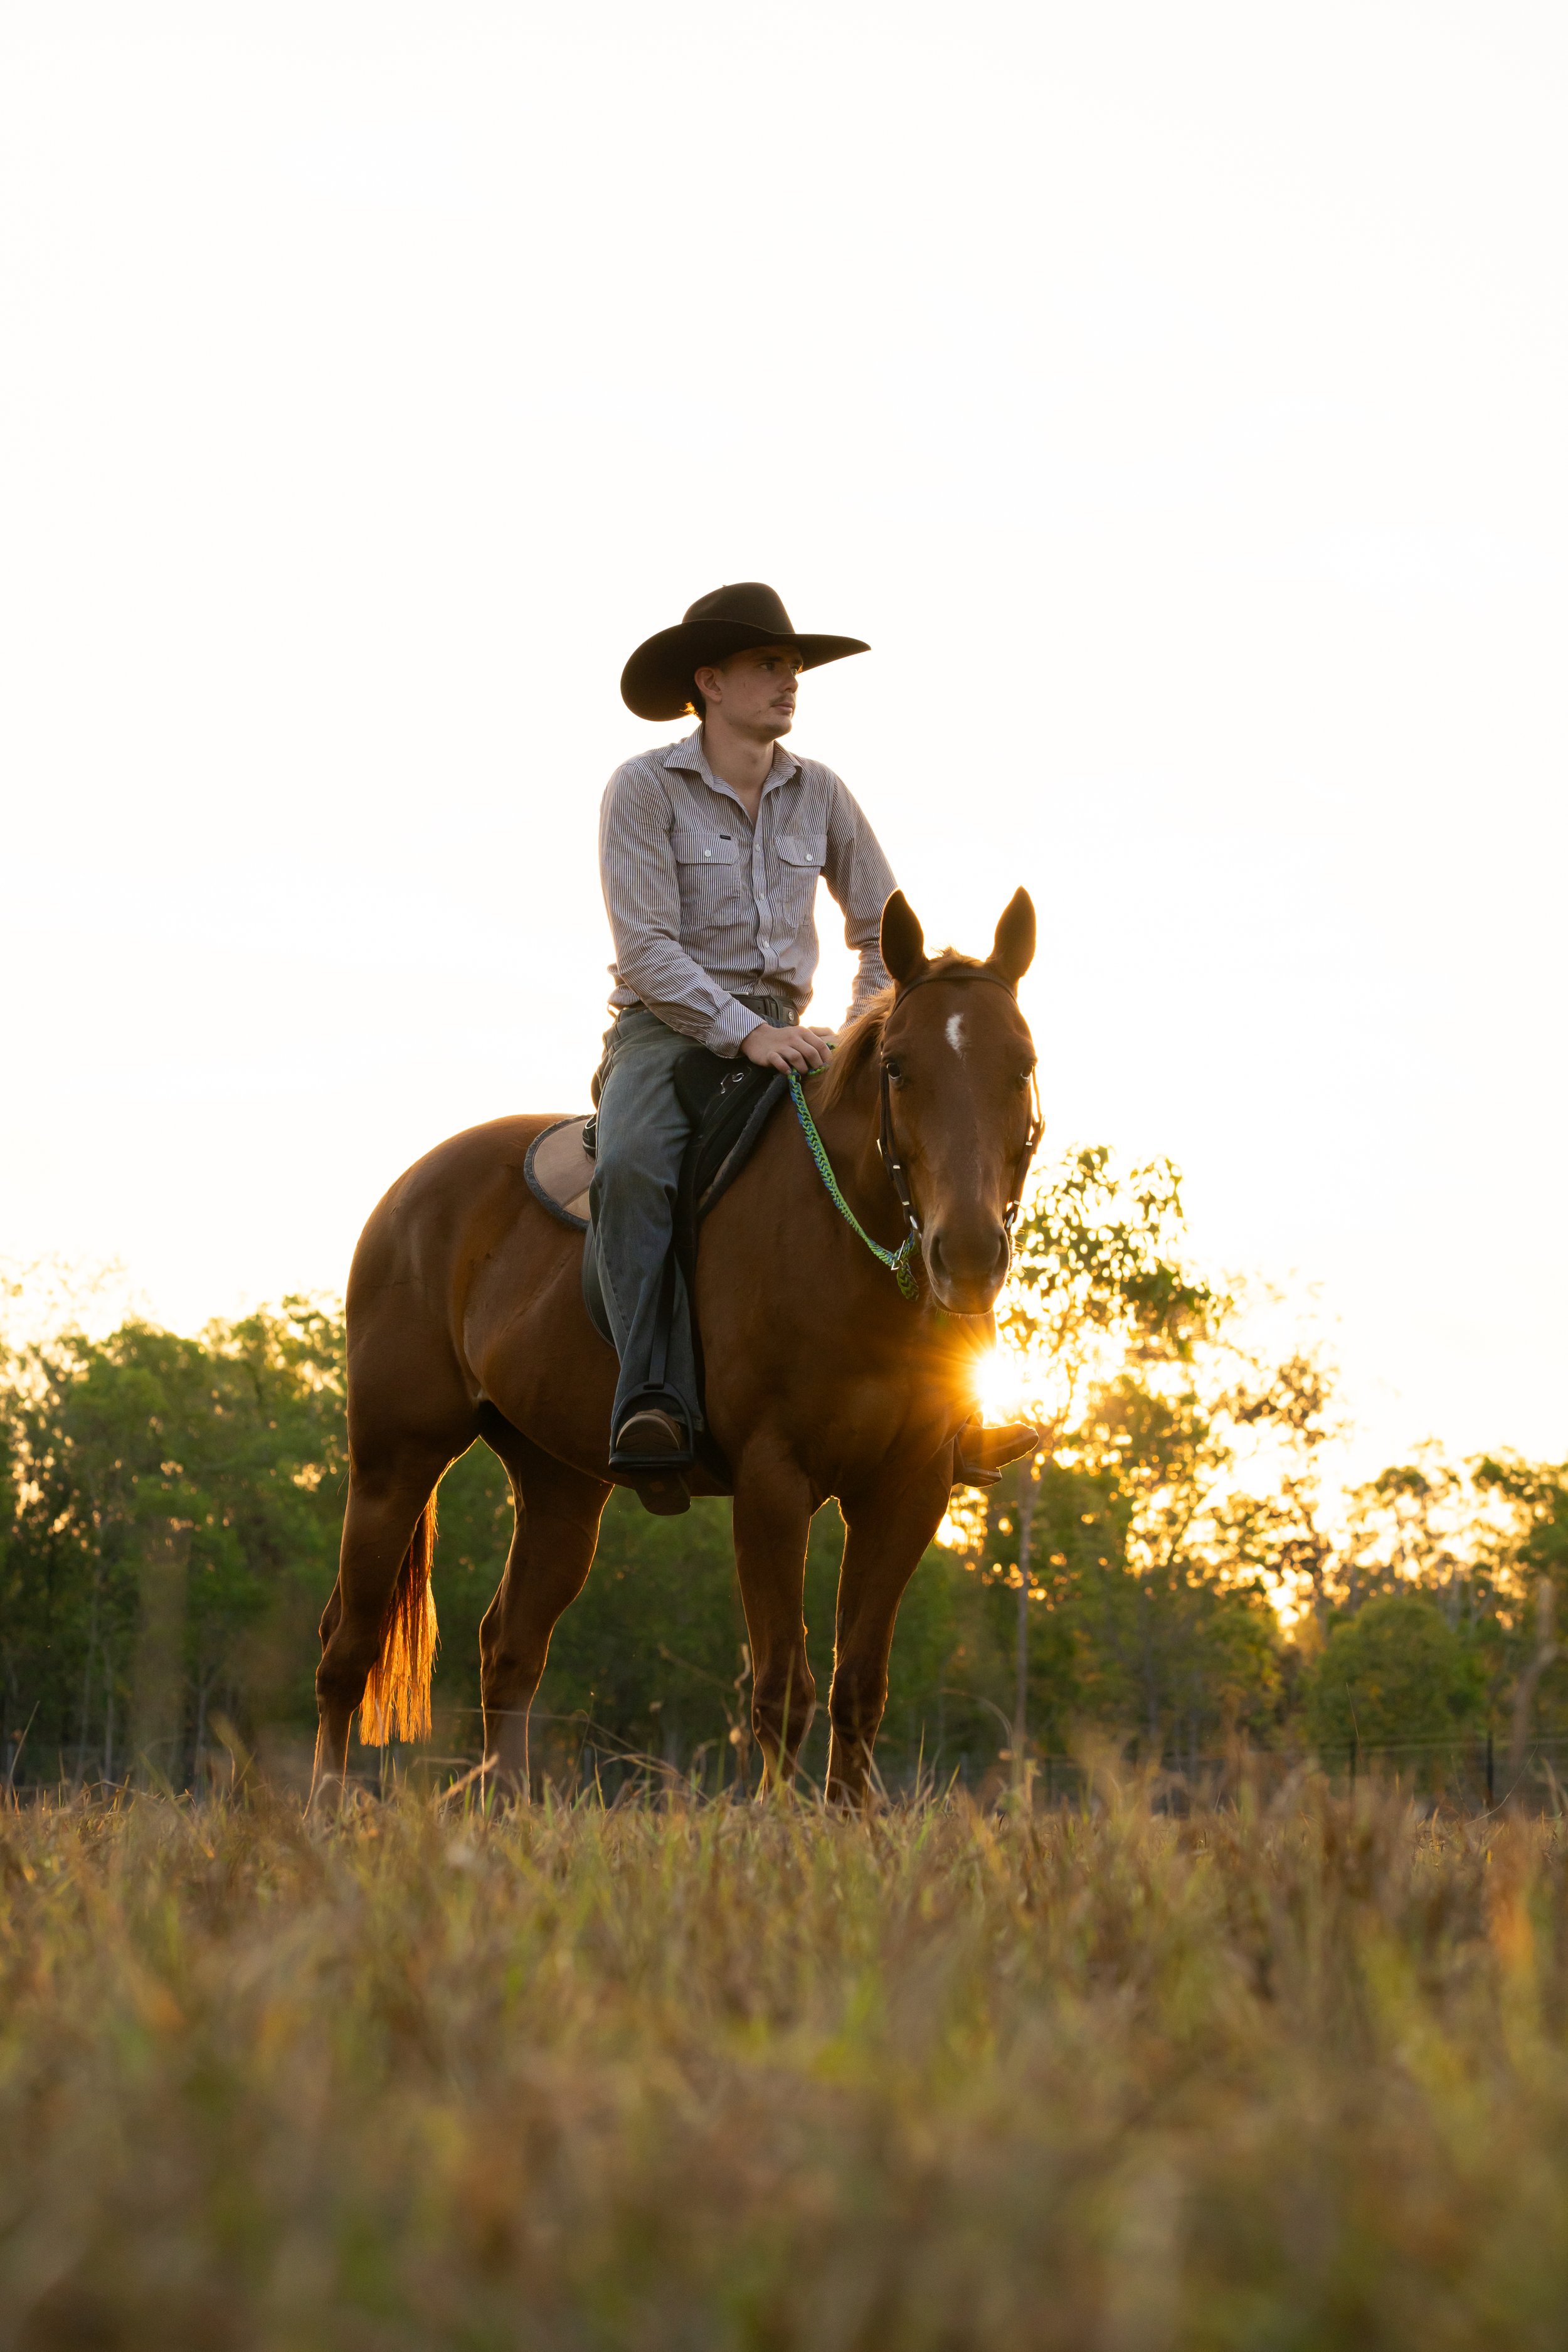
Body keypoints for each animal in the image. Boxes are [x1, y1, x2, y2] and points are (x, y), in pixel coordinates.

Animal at [309, 886, 1040, 1807]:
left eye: (1021, 1065)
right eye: (899, 1067)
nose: (969, 1254)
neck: (848, 1255)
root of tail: (406, 1192)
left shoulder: (909, 1488)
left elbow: (859, 1688)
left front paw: (851, 1827)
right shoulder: (772, 1480)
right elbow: (781, 1689)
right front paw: (776, 1826)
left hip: (560, 1484)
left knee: (509, 1649)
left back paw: (504, 1811)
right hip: (395, 1459)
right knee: (348, 1645)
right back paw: (324, 1809)